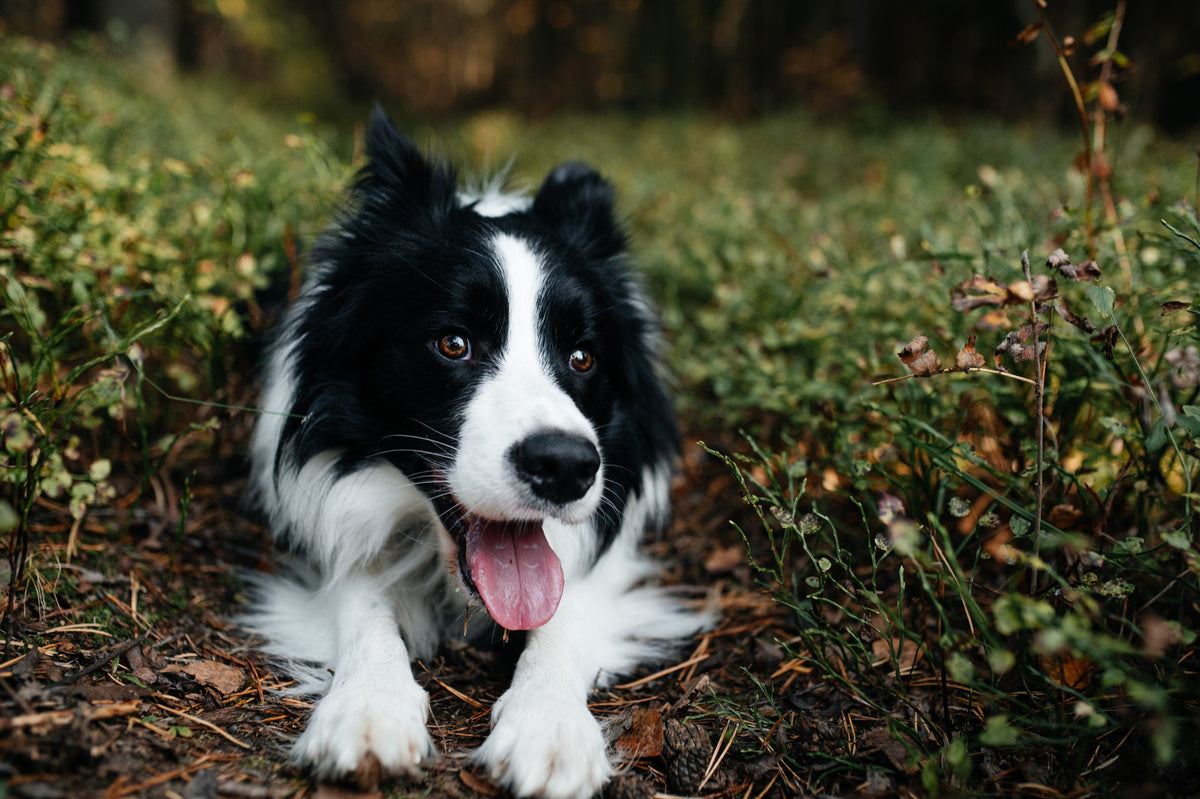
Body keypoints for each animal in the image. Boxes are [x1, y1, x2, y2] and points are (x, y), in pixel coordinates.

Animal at [247, 112, 705, 796]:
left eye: (583, 357)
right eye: (453, 343)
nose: (565, 467)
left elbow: (563, 615)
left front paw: (549, 726)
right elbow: (362, 599)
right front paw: (368, 708)